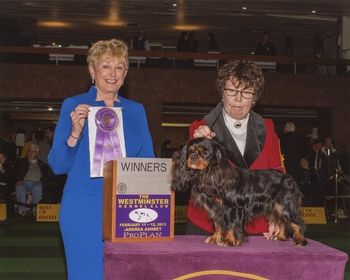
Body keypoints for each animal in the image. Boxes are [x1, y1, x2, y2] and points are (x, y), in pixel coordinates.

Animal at [171, 137, 308, 246]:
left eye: (205, 152)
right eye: (190, 151)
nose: (193, 157)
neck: (210, 174)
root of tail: (290, 178)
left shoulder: (233, 208)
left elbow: (232, 225)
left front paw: (230, 241)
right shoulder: (217, 209)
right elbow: (218, 224)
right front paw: (215, 238)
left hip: (286, 204)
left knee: (296, 223)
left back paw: (300, 240)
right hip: (275, 207)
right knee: (282, 221)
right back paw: (280, 237)